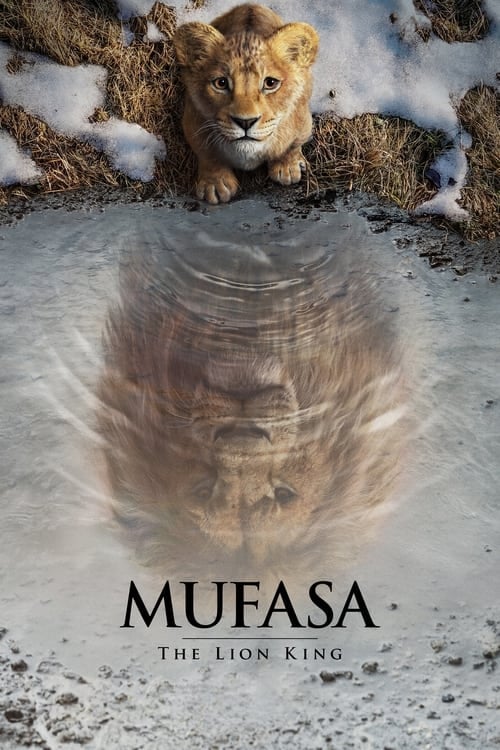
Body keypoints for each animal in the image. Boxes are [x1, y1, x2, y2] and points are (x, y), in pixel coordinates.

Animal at [173, 4, 319, 204]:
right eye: (221, 83)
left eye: (270, 83)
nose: (245, 122)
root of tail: (250, 5)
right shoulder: (193, 122)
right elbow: (207, 154)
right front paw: (215, 184)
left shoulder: (303, 122)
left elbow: (292, 146)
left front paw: (287, 168)